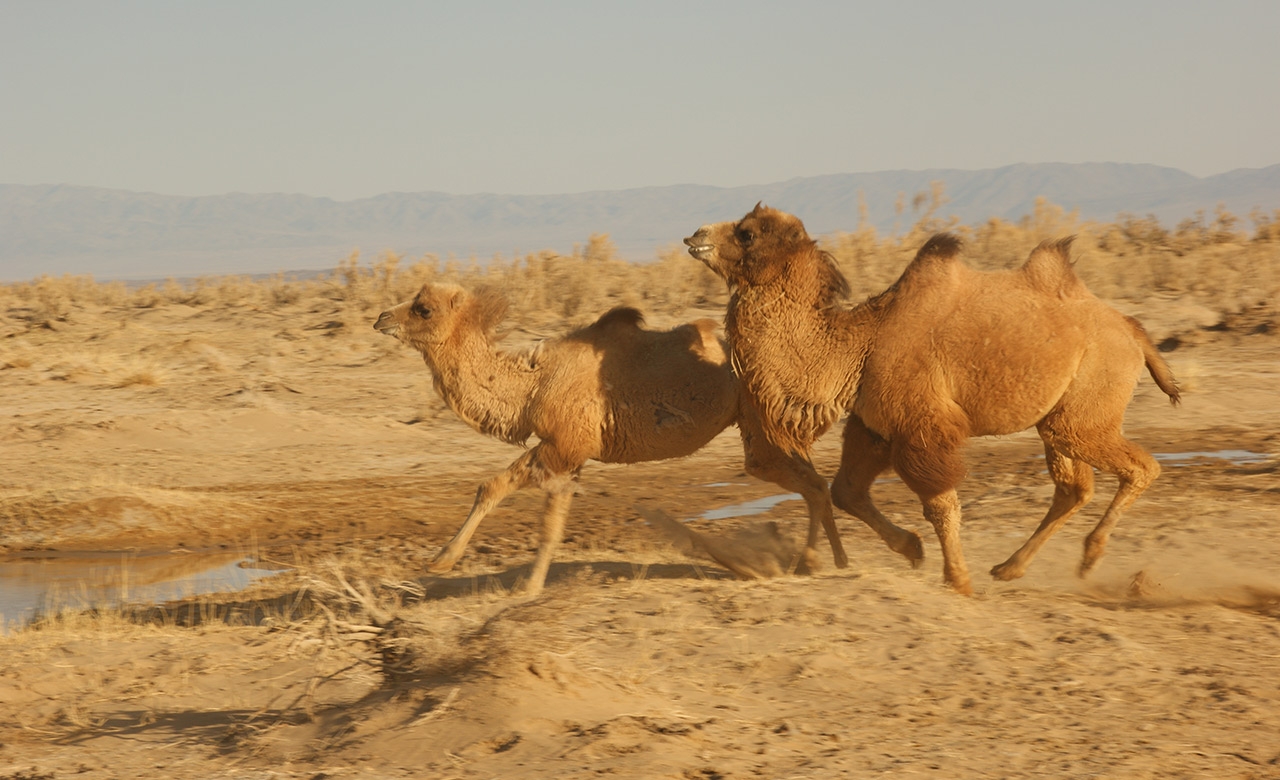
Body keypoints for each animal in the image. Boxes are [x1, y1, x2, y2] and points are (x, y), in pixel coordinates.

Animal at [371, 283, 849, 594]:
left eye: (423, 308)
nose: (380, 317)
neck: (531, 385)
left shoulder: (563, 446)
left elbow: (513, 500)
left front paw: (466, 568)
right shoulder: (569, 454)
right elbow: (529, 509)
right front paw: (516, 580)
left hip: (762, 425)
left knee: (809, 483)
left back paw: (822, 562)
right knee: (813, 483)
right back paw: (825, 561)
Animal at [686, 203, 1182, 594]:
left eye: (746, 232)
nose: (695, 235)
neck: (857, 346)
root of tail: (1133, 329)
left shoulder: (921, 427)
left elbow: (941, 505)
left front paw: (957, 580)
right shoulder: (874, 426)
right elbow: (847, 491)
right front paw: (912, 549)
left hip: (1088, 403)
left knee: (1141, 466)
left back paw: (1090, 558)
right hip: (1058, 418)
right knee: (1074, 487)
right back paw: (1010, 568)